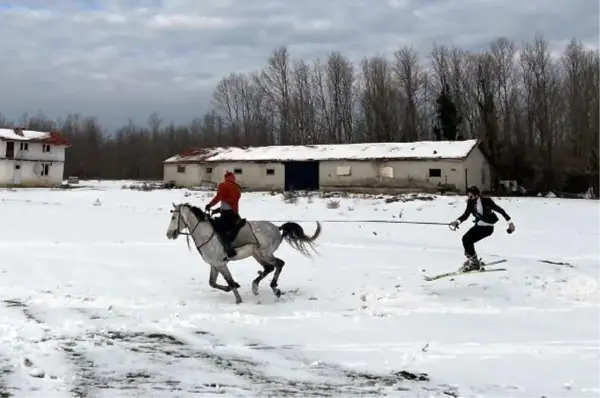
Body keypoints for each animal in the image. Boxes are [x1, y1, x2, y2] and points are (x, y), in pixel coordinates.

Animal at [166, 204, 322, 304]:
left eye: (173, 217)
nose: (168, 234)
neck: (205, 234)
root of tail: (277, 228)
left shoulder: (221, 264)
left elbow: (228, 280)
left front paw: (238, 299)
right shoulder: (215, 265)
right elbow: (213, 283)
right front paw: (232, 288)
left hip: (265, 253)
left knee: (279, 264)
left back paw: (273, 288)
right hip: (257, 255)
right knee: (269, 268)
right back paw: (256, 286)